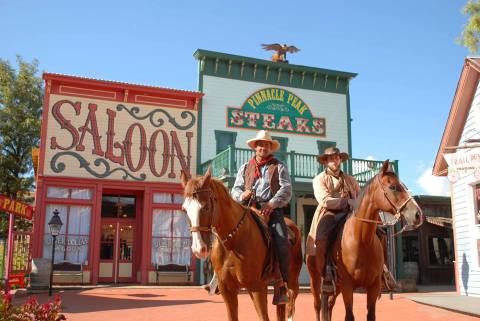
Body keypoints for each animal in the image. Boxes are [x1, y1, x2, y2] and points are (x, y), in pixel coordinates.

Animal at [180, 168, 304, 320]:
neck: (233, 244)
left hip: (292, 281)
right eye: (185, 209)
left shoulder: (257, 287)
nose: (199, 249)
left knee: (290, 306)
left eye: (206, 207)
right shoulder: (228, 290)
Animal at [306, 160, 426, 320]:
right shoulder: (347, 285)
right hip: (316, 278)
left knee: (329, 305)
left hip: (336, 286)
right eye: (393, 187)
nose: (417, 214)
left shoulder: (373, 286)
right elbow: (349, 316)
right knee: (318, 305)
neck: (361, 241)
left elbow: (371, 315)